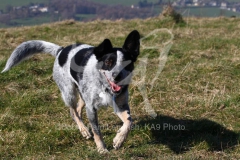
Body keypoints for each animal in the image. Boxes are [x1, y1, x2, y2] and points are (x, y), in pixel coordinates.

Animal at [1, 30, 141, 154]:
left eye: (126, 63)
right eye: (108, 62)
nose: (117, 76)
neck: (105, 86)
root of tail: (61, 50)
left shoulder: (121, 105)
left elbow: (129, 122)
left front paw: (119, 140)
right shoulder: (91, 108)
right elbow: (97, 131)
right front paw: (102, 149)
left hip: (82, 94)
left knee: (78, 109)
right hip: (69, 92)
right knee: (73, 112)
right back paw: (84, 130)